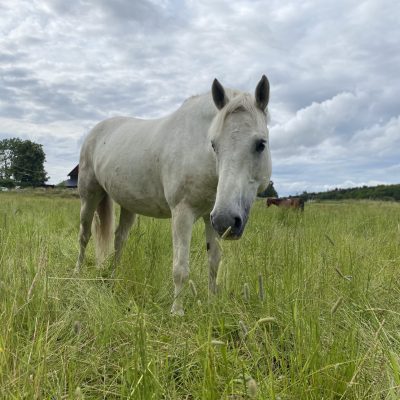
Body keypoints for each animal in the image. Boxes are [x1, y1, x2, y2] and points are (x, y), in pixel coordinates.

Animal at [75, 76, 272, 316]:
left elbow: (214, 261)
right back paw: (77, 274)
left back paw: (114, 278)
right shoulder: (182, 213)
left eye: (261, 144)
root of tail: (95, 131)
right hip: (89, 196)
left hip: (128, 205)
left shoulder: (210, 217)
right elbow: (180, 268)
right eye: (214, 145)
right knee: (84, 235)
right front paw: (176, 312)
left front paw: (212, 303)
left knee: (119, 239)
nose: (227, 221)